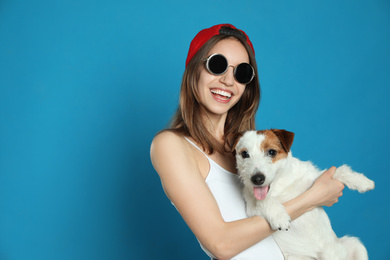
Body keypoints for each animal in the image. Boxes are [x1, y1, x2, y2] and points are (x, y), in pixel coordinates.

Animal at [233, 129, 376, 258]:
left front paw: (363, 182)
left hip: (355, 244)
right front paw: (280, 217)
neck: (280, 186)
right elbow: (262, 200)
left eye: (271, 152)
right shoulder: (251, 210)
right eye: (245, 154)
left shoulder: (314, 180)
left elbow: (339, 171)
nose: (257, 179)